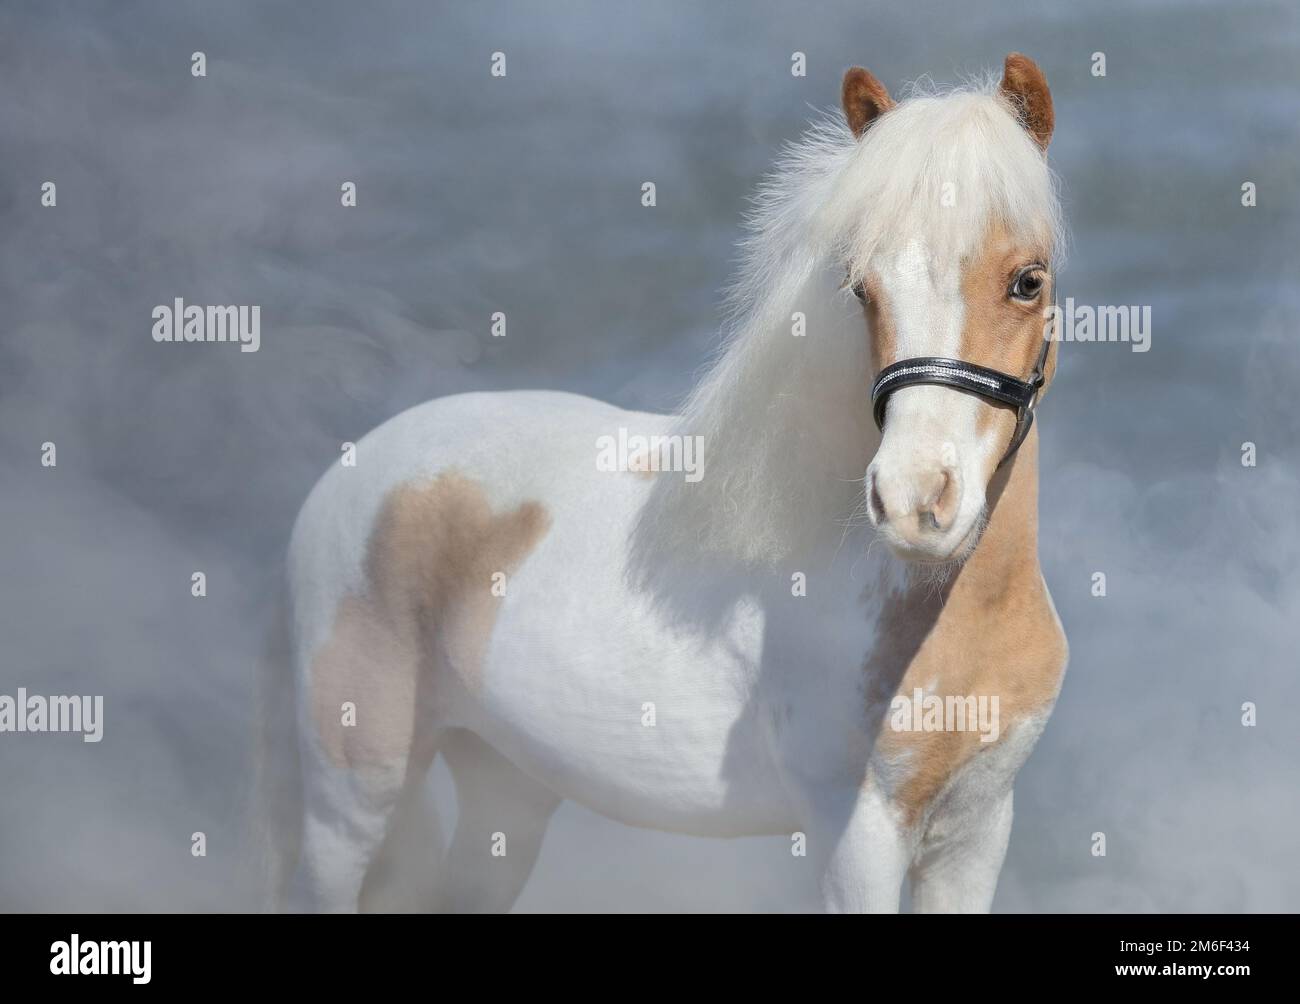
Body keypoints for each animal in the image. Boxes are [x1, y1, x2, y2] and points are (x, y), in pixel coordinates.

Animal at [267, 53, 1069, 913]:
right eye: (862, 287)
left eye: (1027, 281)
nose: (915, 503)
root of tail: (351, 473)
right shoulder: (857, 837)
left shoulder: (977, 827)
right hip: (352, 801)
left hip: (504, 788)